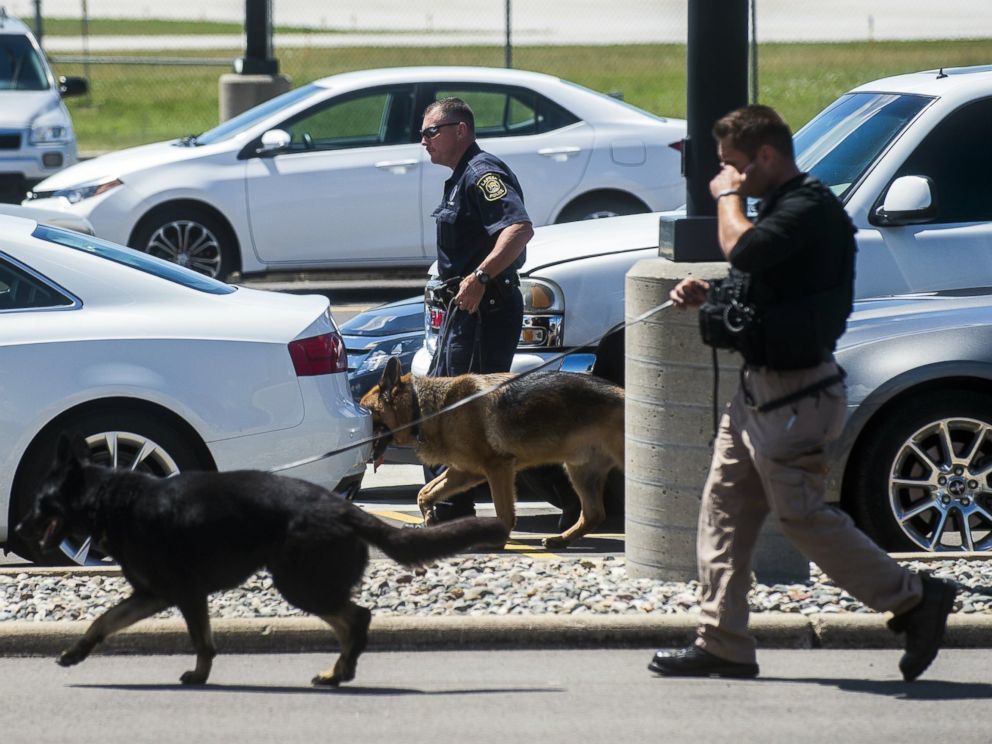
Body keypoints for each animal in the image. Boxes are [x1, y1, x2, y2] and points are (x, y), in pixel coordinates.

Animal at [15, 436, 508, 684]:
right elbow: (103, 621)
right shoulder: (153, 596)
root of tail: (345, 509)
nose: (15, 529)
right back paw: (338, 672)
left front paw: (199, 675)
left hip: (298, 584)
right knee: (350, 621)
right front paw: (75, 653)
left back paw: (340, 672)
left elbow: (200, 642)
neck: (110, 500)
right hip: (303, 583)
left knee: (357, 618)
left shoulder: (183, 594)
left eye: (39, 504)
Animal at [358, 354, 620, 548]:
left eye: (366, 410)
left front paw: (497, 540)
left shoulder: (498, 468)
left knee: (594, 512)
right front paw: (429, 517)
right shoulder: (465, 472)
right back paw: (561, 540)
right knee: (594, 514)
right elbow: (425, 492)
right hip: (580, 471)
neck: (423, 409)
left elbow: (504, 511)